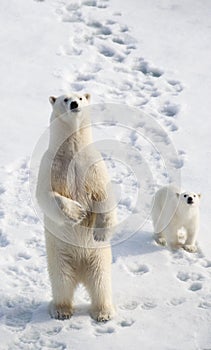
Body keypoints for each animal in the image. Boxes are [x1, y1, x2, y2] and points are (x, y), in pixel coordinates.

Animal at [35, 92, 116, 320]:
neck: (72, 152)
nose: (74, 104)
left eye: (80, 97)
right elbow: (46, 195)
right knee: (61, 281)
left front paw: (100, 233)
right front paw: (77, 212)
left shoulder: (93, 165)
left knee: (101, 281)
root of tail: (80, 273)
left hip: (98, 257)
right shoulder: (51, 166)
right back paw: (61, 310)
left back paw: (104, 312)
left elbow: (104, 195)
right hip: (59, 255)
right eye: (64, 99)